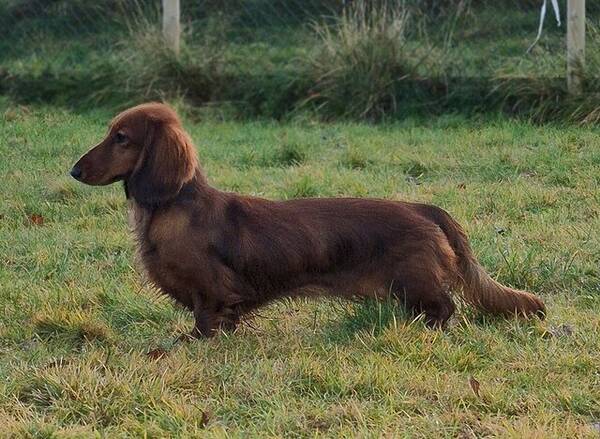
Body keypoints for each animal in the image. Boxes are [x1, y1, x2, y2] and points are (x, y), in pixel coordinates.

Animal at [70, 102, 544, 336]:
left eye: (121, 137)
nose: (73, 170)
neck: (175, 210)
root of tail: (422, 207)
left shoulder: (212, 291)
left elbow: (207, 319)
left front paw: (190, 343)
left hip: (415, 281)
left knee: (445, 308)